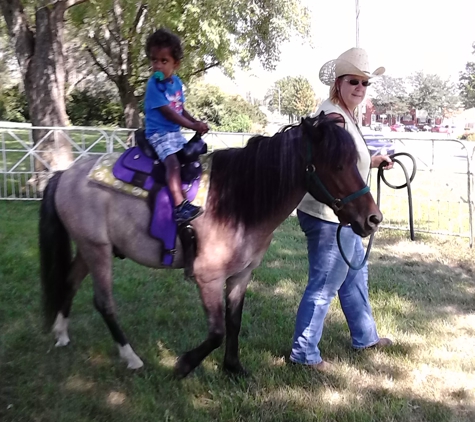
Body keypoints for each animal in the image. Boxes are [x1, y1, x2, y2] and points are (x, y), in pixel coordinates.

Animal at [40, 113, 384, 378]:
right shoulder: (208, 278)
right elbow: (217, 332)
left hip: (89, 249)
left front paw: (233, 368)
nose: (372, 219)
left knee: (69, 282)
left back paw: (60, 334)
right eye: (337, 166)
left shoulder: (241, 275)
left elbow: (233, 323)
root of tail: (65, 174)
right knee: (104, 302)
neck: (235, 200)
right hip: (97, 251)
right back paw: (131, 357)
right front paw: (183, 365)